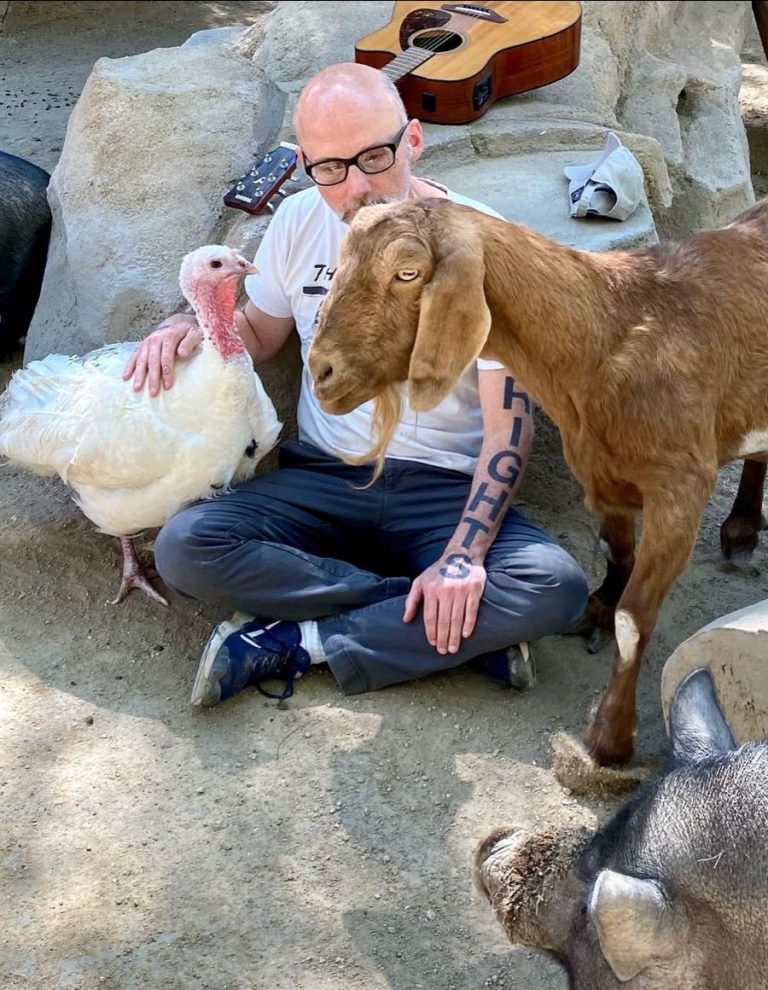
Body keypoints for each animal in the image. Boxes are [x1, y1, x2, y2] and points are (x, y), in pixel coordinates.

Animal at [308, 196, 768, 767]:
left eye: (407, 273)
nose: (321, 372)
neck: (609, 335)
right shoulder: (600, 468)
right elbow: (614, 551)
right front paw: (597, 608)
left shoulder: (680, 487)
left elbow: (634, 621)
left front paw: (608, 740)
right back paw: (742, 528)